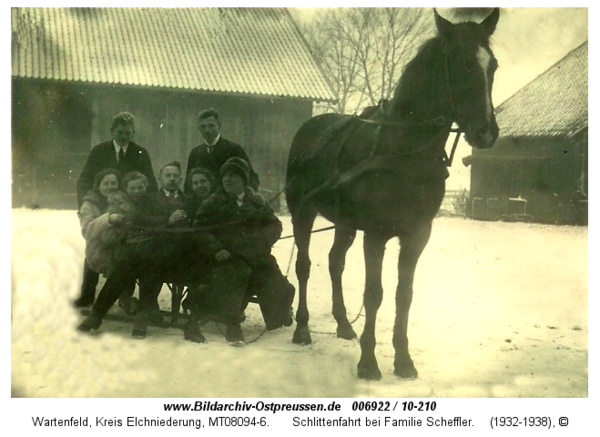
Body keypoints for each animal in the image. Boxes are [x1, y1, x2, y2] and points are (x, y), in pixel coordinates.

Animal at [284, 8, 500, 380]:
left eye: (493, 66)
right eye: (458, 62)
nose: (486, 132)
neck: (405, 149)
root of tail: (309, 129)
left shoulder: (416, 235)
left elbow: (404, 295)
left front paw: (403, 360)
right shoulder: (376, 234)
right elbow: (375, 294)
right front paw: (368, 363)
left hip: (345, 223)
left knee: (335, 262)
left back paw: (344, 324)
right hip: (303, 214)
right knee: (304, 266)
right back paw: (302, 329)